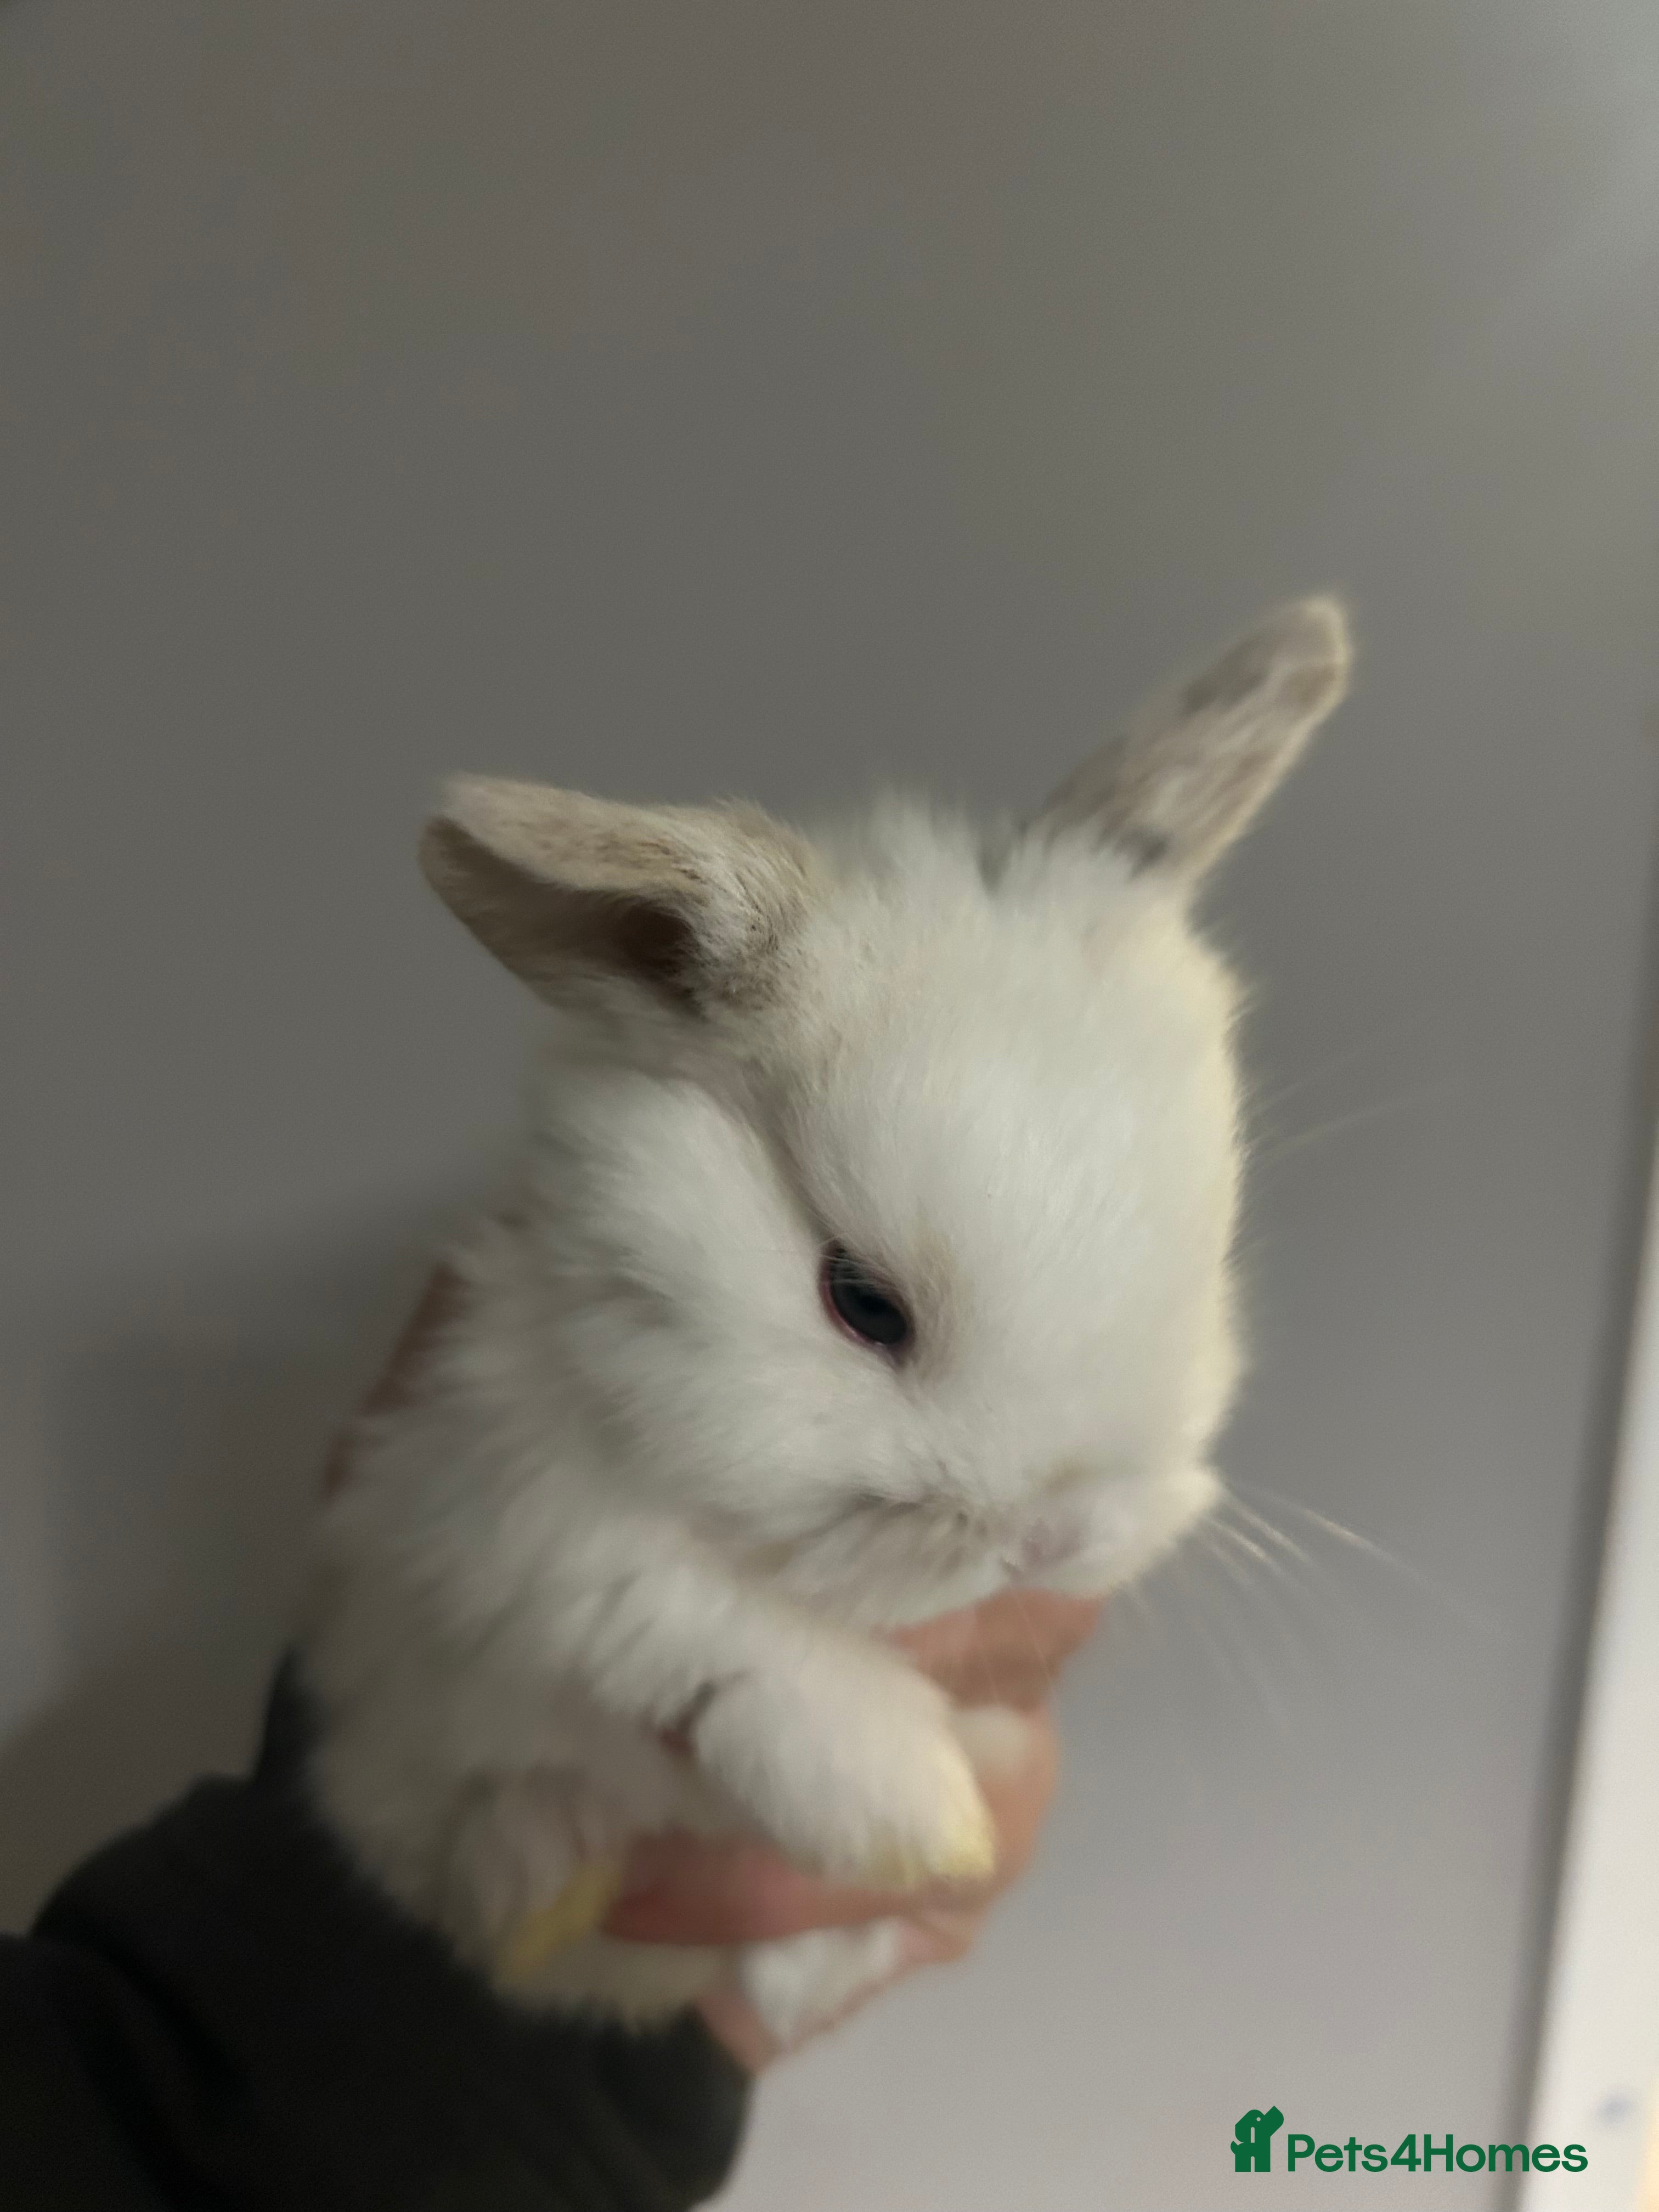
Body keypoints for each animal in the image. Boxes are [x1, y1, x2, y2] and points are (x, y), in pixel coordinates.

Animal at [299, 596, 1351, 2045]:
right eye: (860, 1302)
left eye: (1213, 1251)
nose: (1051, 1539)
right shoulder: (493, 1473)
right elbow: (692, 1609)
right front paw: (915, 1814)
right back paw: (540, 1878)